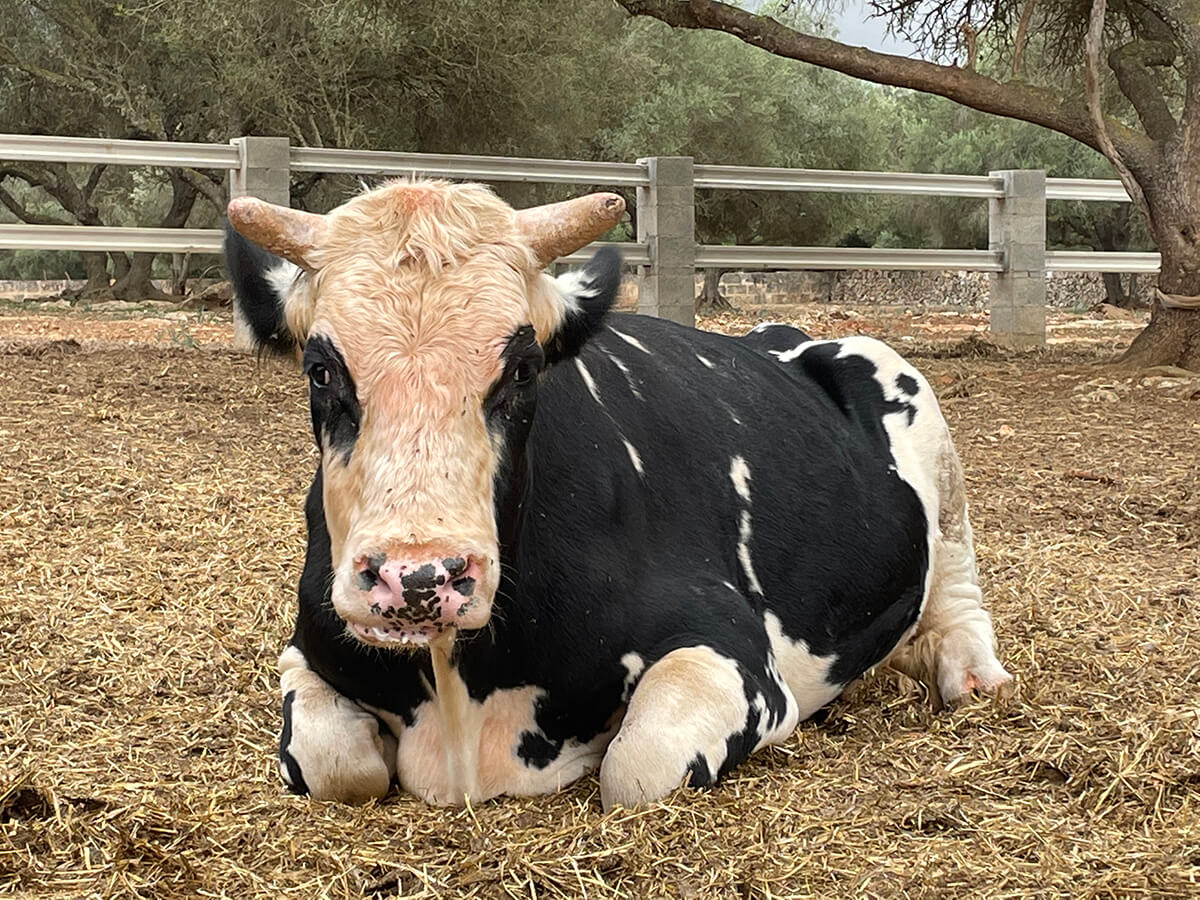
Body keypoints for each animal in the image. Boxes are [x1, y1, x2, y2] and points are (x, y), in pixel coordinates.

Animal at [226, 177, 1012, 811]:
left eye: (523, 369)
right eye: (321, 369)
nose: (419, 577)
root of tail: (778, 333)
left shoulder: (736, 649)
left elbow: (637, 766)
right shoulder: (309, 645)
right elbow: (336, 767)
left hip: (932, 445)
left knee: (957, 599)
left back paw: (973, 676)